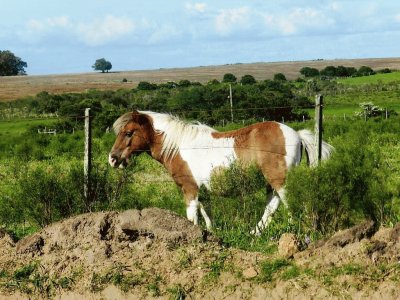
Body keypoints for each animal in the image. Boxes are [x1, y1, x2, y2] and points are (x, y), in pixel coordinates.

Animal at [108, 110, 332, 234]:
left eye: (128, 133)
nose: (113, 158)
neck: (180, 145)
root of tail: (297, 134)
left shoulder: (190, 190)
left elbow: (192, 216)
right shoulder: (203, 192)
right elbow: (207, 214)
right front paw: (211, 233)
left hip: (281, 181)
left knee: (292, 205)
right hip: (272, 184)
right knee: (271, 207)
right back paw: (254, 233)